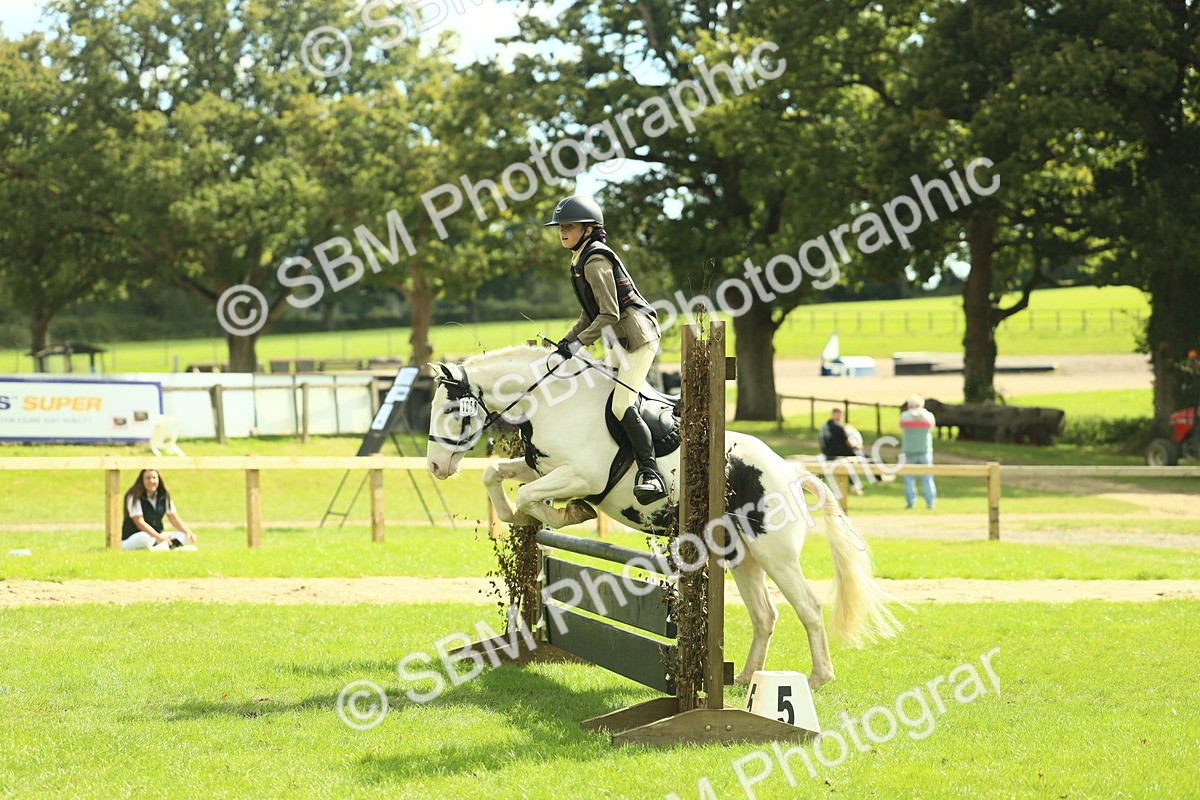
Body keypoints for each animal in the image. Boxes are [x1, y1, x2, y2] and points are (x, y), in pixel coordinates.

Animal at [425, 345, 904, 689]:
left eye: (449, 411)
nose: (434, 466)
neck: (550, 402)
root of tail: (789, 471)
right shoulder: (542, 468)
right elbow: (496, 476)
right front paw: (522, 516)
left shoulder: (582, 473)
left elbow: (529, 494)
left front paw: (566, 512)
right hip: (742, 555)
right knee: (765, 615)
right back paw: (747, 677)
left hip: (775, 554)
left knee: (807, 606)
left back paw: (818, 678)